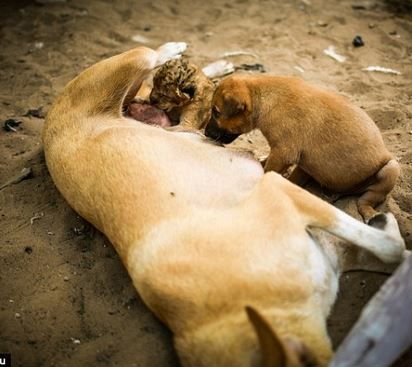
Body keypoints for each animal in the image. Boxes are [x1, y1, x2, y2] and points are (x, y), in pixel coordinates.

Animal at [204, 74, 400, 223]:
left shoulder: (283, 153)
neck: (264, 96)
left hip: (391, 169)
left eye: (216, 112)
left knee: (366, 199)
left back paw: (370, 214)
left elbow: (268, 172)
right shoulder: (294, 159)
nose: (205, 133)